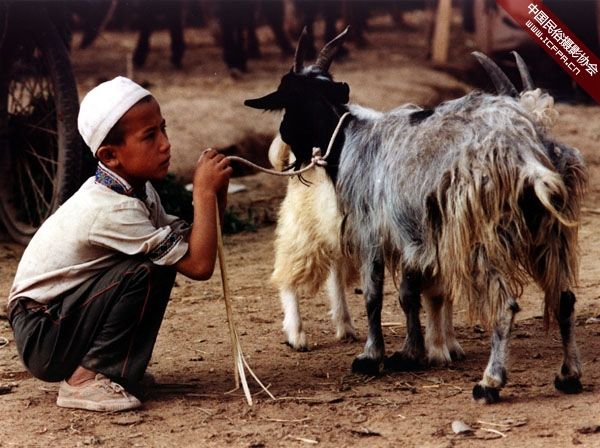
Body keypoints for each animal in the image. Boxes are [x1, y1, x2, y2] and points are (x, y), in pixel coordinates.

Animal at [245, 28, 587, 403]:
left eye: (288, 102)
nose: (287, 145)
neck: (351, 138)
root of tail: (527, 152)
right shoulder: (410, 235)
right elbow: (408, 295)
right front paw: (411, 353)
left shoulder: (372, 230)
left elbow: (373, 296)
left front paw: (371, 356)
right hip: (549, 232)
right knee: (565, 298)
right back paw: (568, 375)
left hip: (478, 236)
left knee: (506, 304)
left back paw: (490, 382)